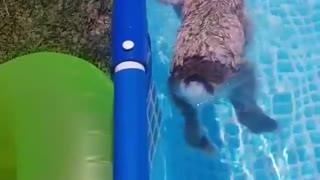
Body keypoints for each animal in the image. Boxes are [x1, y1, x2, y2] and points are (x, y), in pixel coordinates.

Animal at [161, 0, 278, 155]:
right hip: (238, 76)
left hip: (175, 89)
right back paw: (263, 123)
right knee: (244, 104)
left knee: (189, 117)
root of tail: (196, 77)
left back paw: (203, 143)